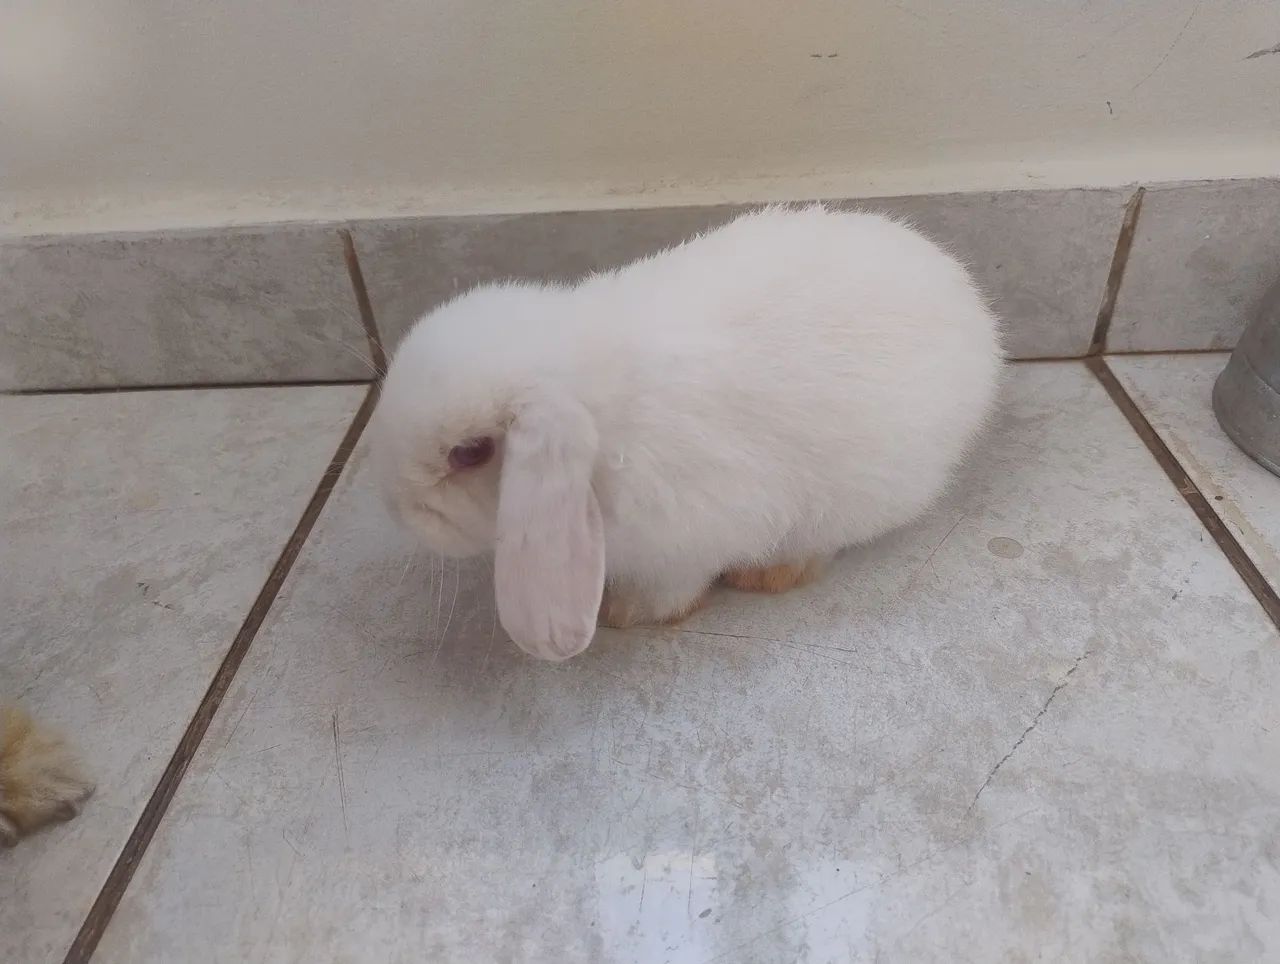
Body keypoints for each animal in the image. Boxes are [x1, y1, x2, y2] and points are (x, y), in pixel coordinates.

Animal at [371, 204, 1003, 661]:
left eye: (470, 453)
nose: (396, 510)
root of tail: (975, 310)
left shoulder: (694, 536)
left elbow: (674, 589)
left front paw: (625, 613)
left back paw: (771, 572)